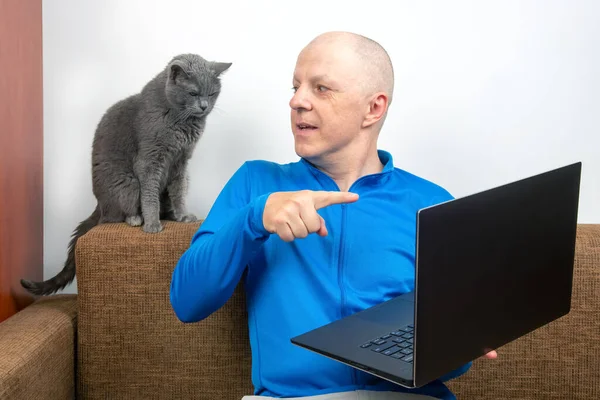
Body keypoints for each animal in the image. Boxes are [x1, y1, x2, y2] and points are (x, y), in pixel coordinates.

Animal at [21, 53, 232, 296]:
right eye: (193, 93)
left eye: (212, 93)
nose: (204, 106)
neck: (180, 120)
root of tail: (98, 204)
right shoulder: (149, 160)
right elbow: (149, 196)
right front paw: (152, 225)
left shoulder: (181, 163)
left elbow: (178, 192)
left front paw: (182, 215)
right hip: (128, 182)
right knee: (115, 215)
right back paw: (136, 219)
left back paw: (170, 215)